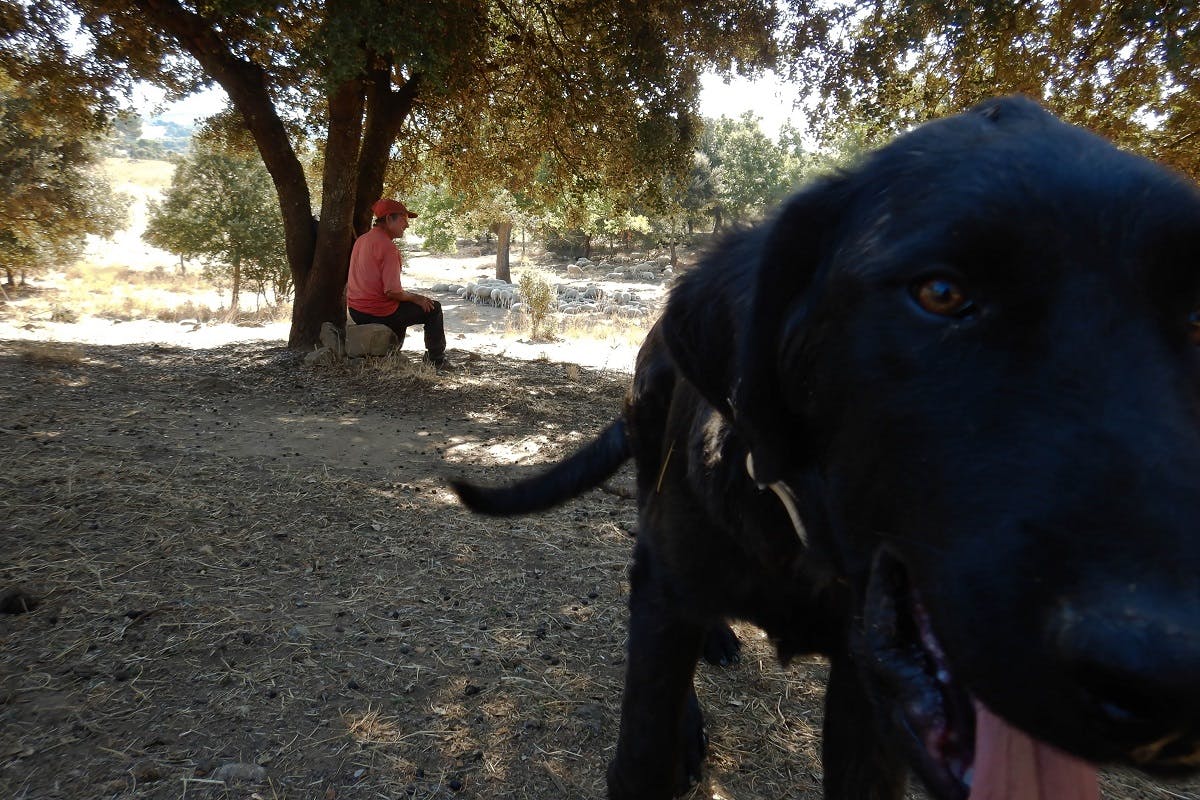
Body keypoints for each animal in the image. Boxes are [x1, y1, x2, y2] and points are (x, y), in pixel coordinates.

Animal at [453, 95, 1200, 800]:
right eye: (940, 292)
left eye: (1197, 315)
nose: (1171, 686)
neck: (799, 537)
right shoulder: (666, 603)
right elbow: (641, 752)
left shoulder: (865, 687)